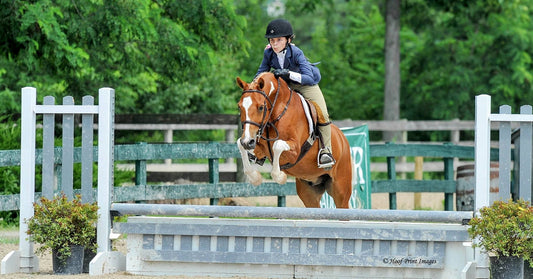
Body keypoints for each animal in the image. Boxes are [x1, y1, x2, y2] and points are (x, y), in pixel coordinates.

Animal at [235, 73, 352, 209]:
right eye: (239, 106)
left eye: (260, 107)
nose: (247, 141)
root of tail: (343, 138)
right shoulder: (258, 145)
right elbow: (239, 144)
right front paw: (255, 178)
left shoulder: (295, 150)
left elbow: (277, 145)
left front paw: (280, 177)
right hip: (309, 192)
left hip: (341, 190)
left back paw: (326, 157)